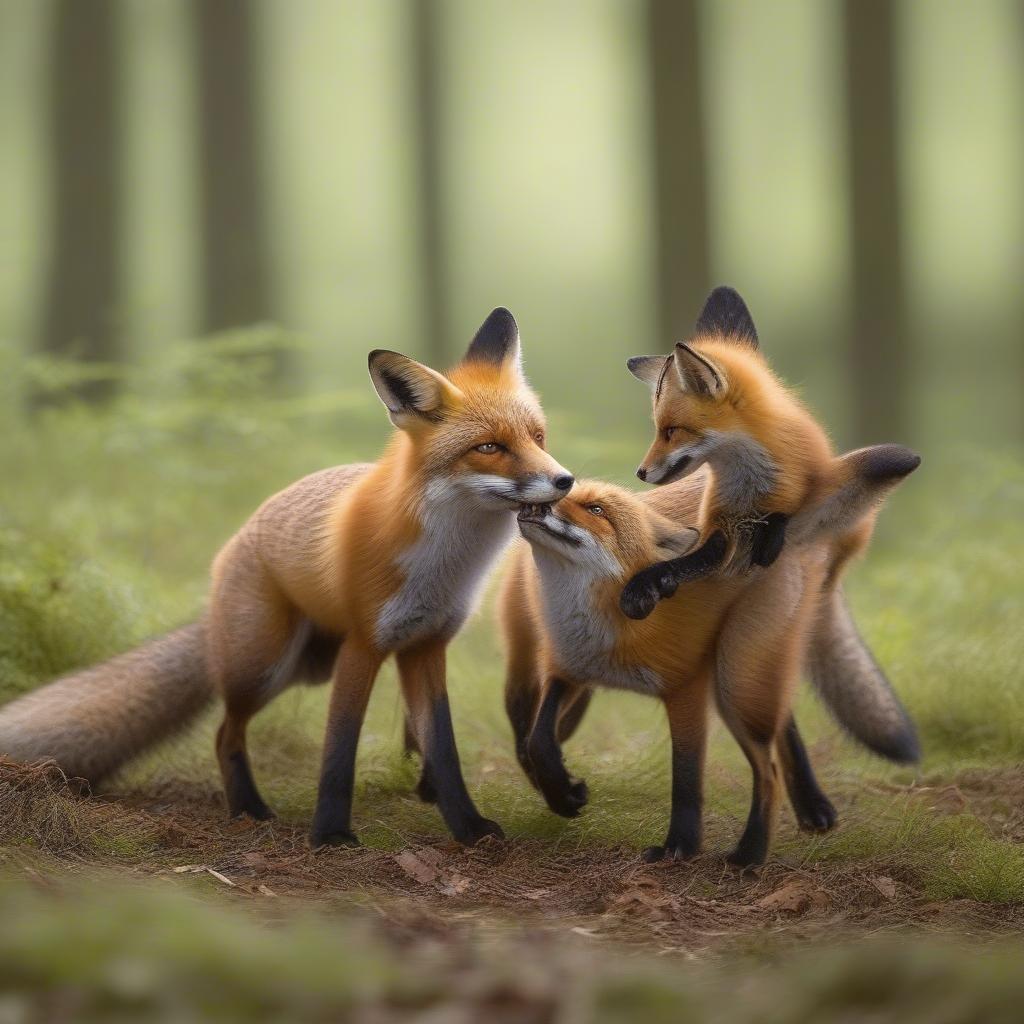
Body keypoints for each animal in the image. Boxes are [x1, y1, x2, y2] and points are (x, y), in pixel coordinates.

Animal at [0, 309, 577, 847]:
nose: (564, 480)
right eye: (489, 448)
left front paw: (468, 827)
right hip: (265, 665)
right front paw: (331, 835)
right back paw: (248, 809)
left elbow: (445, 749)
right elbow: (339, 751)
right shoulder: (365, 645)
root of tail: (235, 543)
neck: (447, 563)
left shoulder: (425, 646)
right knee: (224, 732)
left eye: (538, 436)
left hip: (308, 665)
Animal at [499, 448, 917, 864]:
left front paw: (680, 846)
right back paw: (808, 808)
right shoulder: (569, 668)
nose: (541, 499)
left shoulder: (687, 689)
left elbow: (685, 778)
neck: (606, 628)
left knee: (769, 768)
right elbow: (538, 740)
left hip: (737, 675)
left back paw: (751, 853)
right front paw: (563, 794)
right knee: (782, 724)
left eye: (597, 509)